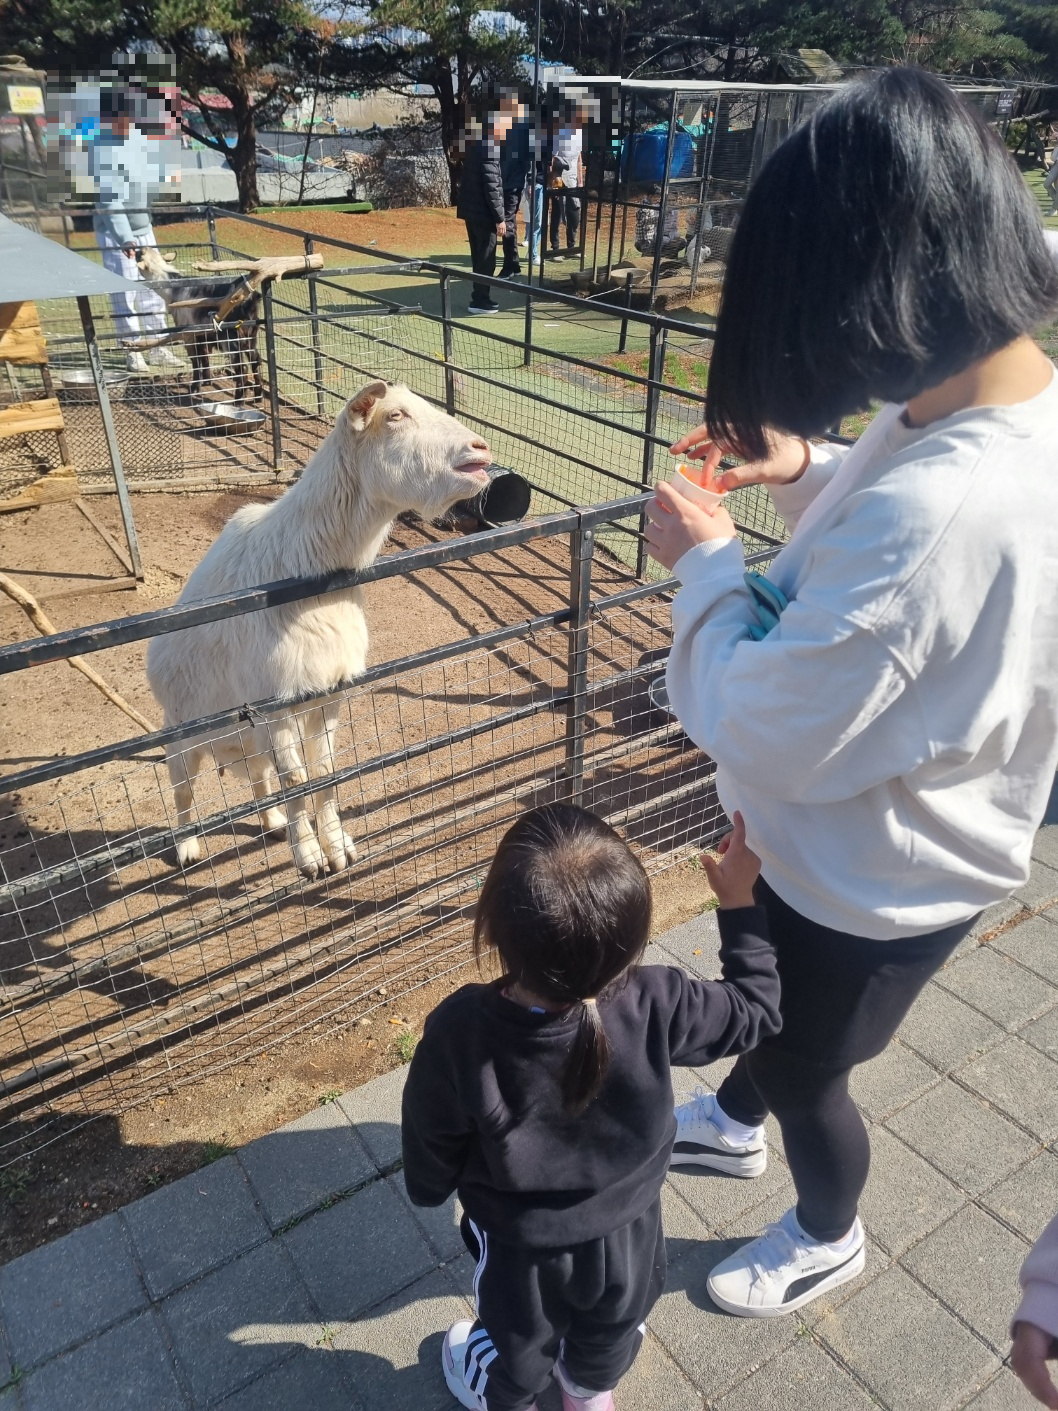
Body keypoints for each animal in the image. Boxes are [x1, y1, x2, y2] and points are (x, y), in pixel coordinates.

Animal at [147, 380, 496, 874]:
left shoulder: (328, 690)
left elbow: (324, 773)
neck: (302, 563)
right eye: (395, 416)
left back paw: (273, 822)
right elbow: (297, 778)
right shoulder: (274, 700)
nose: (480, 449)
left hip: (246, 738)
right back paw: (187, 847)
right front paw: (310, 857)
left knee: (259, 777)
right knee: (182, 791)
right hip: (180, 733)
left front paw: (337, 846)